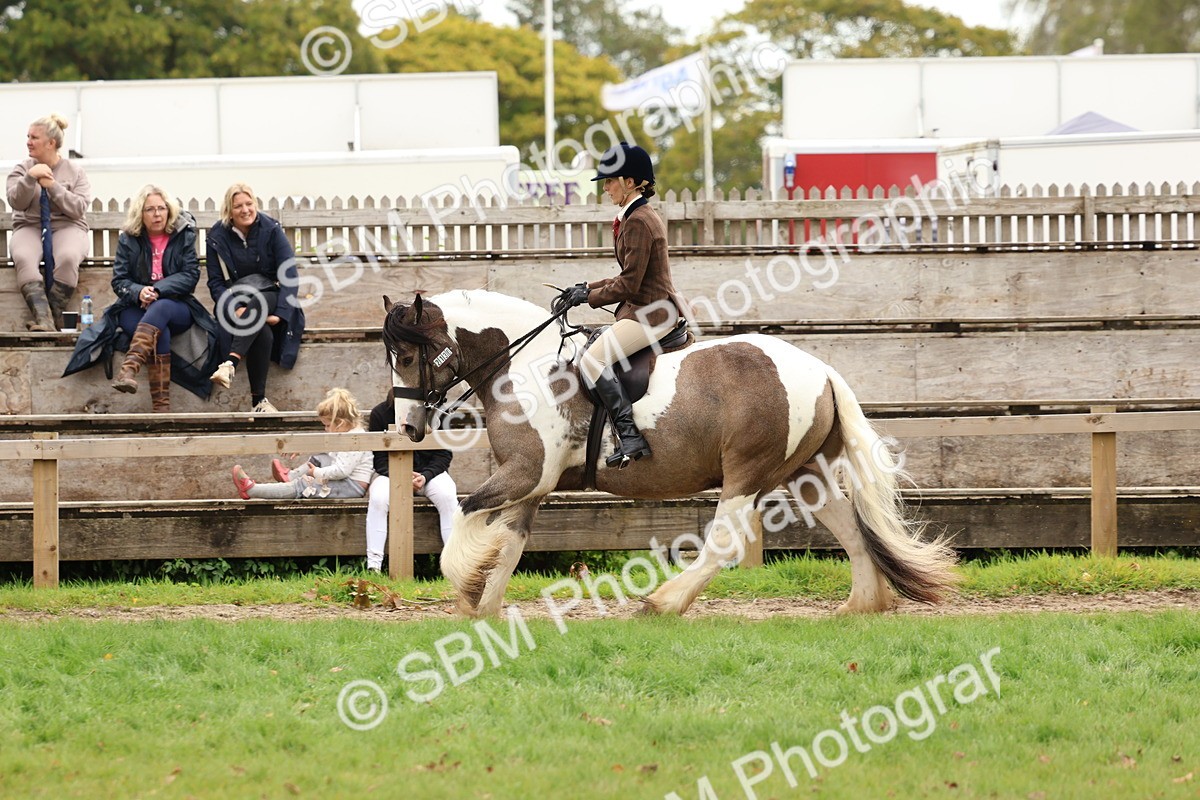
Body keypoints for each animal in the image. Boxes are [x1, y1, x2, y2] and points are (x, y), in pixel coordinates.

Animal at [382, 289, 957, 618]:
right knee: (850, 529)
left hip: (747, 472)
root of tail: (821, 370)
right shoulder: (532, 486)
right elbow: (510, 545)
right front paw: (483, 609)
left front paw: (465, 588)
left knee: (724, 543)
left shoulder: (525, 474)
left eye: (406, 355)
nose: (407, 427)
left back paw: (663, 602)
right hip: (804, 474)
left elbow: (468, 517)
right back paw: (861, 606)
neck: (523, 368)